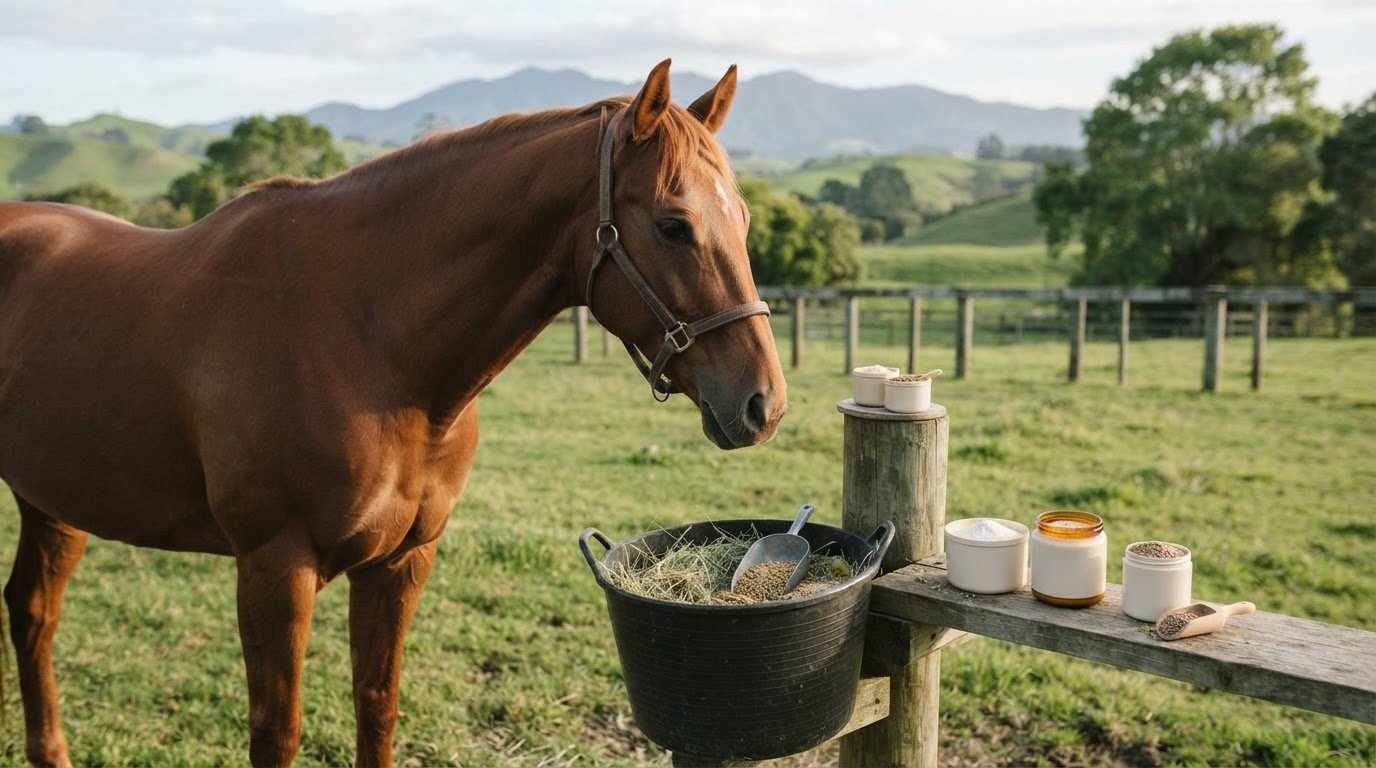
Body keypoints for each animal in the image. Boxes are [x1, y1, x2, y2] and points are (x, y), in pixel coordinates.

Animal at [0, 59, 786, 767]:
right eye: (674, 225)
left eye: (744, 217)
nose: (763, 403)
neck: (364, 335)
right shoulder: (273, 567)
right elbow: (275, 732)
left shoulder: (402, 561)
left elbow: (377, 707)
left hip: (54, 503)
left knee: (32, 612)